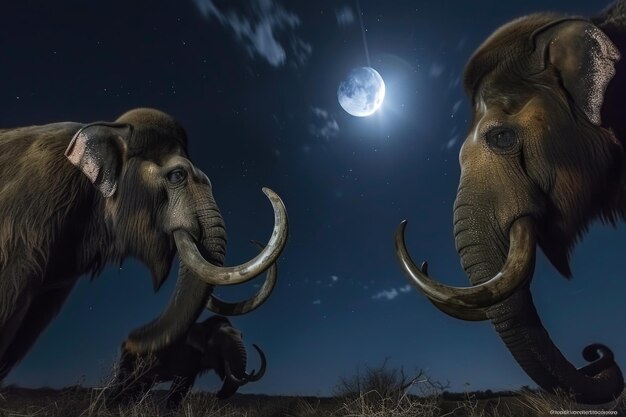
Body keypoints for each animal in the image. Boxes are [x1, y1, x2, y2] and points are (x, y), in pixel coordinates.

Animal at [107, 316, 264, 406]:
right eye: (219, 342)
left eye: (242, 335)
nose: (216, 394)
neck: (203, 326)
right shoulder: (183, 355)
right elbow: (177, 390)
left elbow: (183, 390)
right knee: (124, 384)